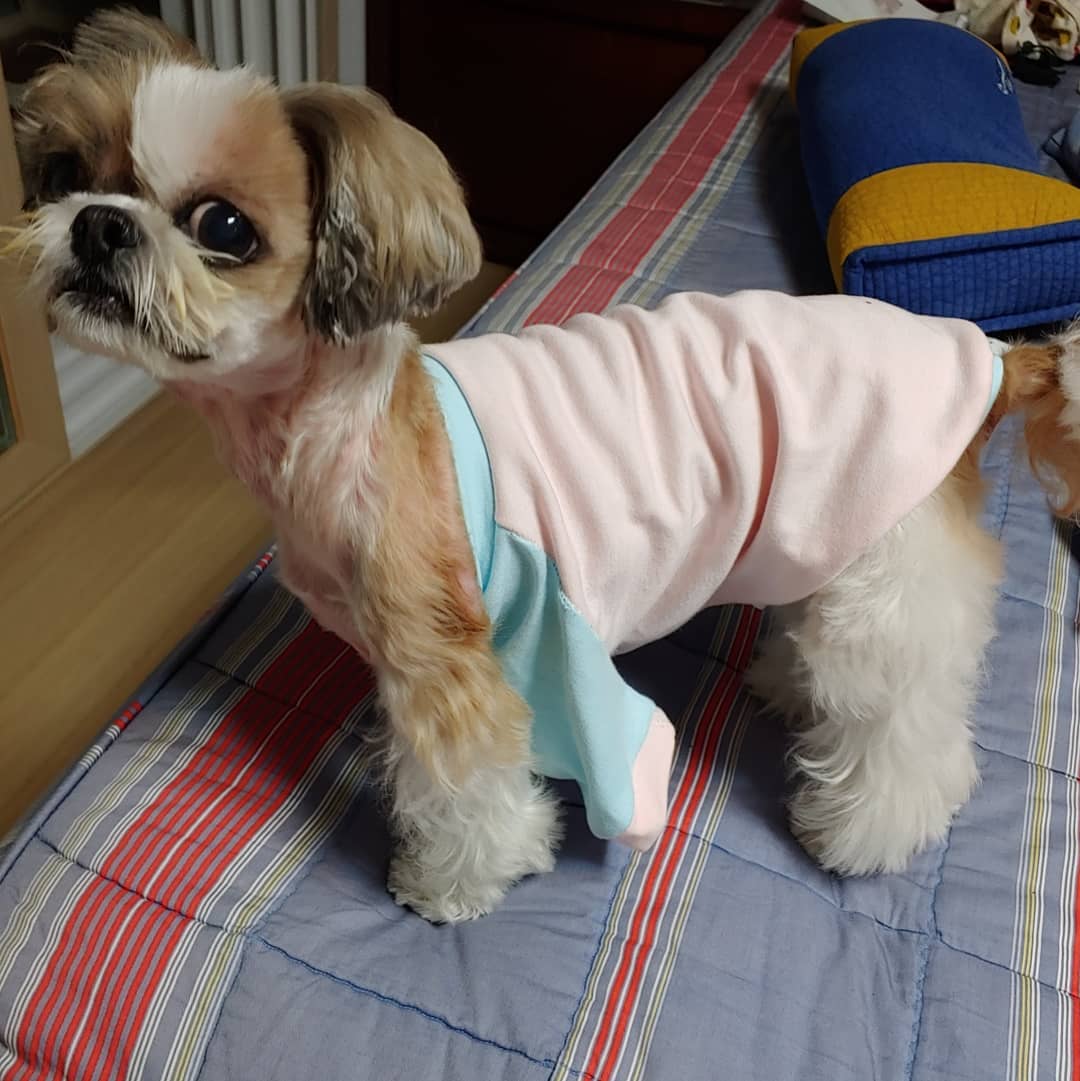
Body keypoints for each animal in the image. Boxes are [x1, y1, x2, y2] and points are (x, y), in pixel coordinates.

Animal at [12, 6, 1080, 921]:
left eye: (223, 228)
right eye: (64, 170)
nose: (100, 222)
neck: (329, 425)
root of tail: (990, 359)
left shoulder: (449, 660)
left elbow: (469, 781)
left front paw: (447, 882)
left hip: (888, 576)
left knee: (905, 723)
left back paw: (863, 831)